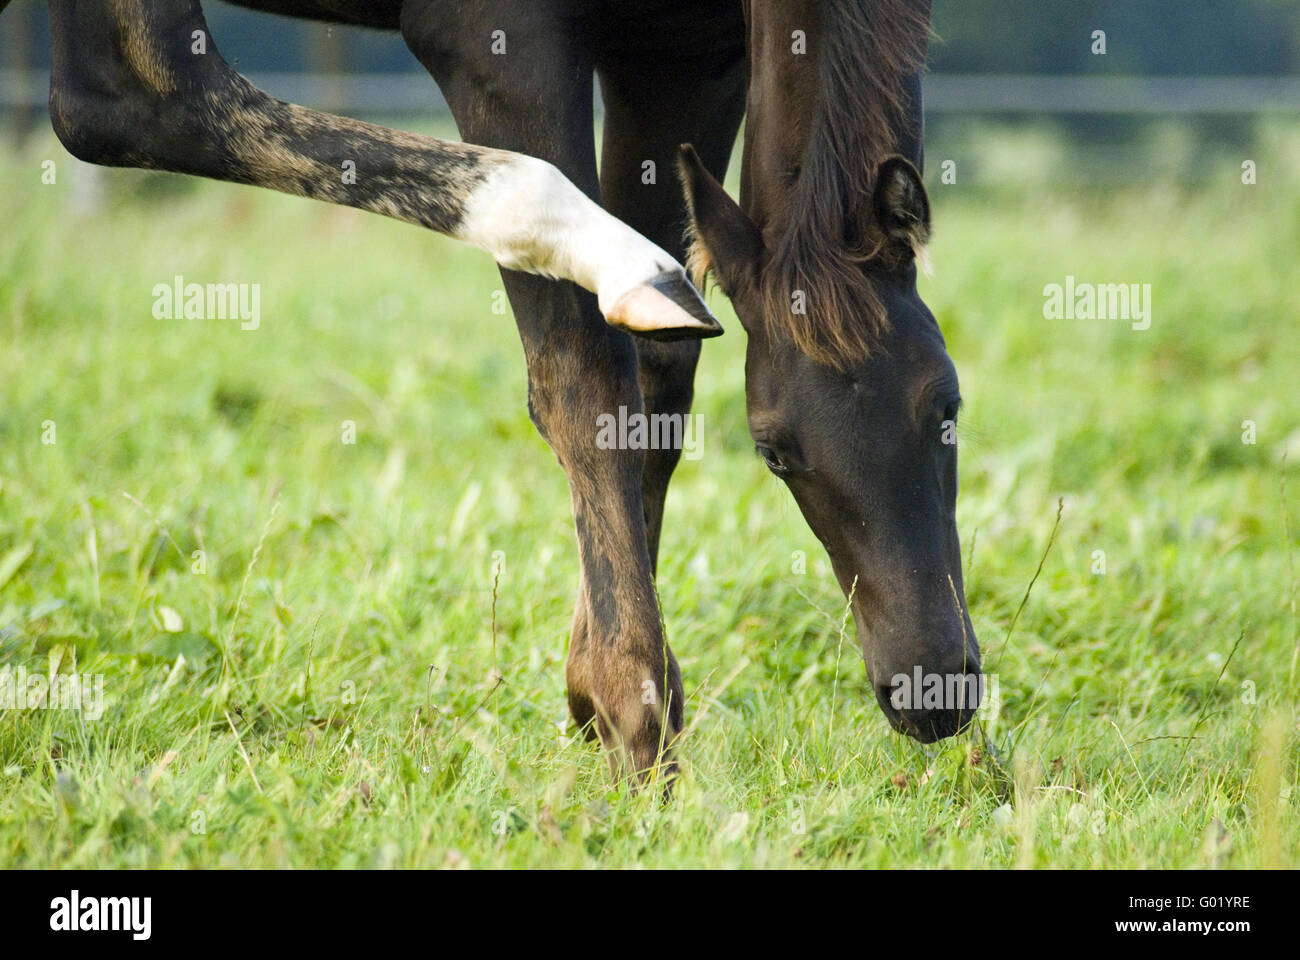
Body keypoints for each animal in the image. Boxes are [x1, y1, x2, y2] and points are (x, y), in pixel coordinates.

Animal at [25, 0, 977, 780]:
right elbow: (585, 376)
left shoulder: (681, 54)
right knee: (130, 94)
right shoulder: (497, 36)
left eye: (949, 408)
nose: (933, 692)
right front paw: (633, 716)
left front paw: (599, 694)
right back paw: (627, 266)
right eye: (774, 453)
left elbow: (659, 391)